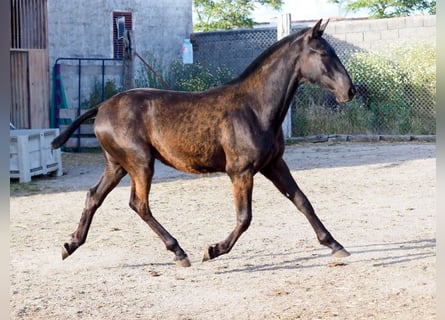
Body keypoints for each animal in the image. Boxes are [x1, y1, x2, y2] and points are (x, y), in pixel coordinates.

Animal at [52, 18, 356, 266]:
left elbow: (302, 201)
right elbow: (245, 218)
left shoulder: (274, 164)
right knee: (139, 204)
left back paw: (70, 244)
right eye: (323, 53)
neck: (255, 107)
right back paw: (178, 252)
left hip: (117, 165)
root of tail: (102, 107)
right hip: (140, 163)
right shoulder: (241, 171)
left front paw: (335, 244)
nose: (349, 91)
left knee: (94, 196)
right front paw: (213, 250)